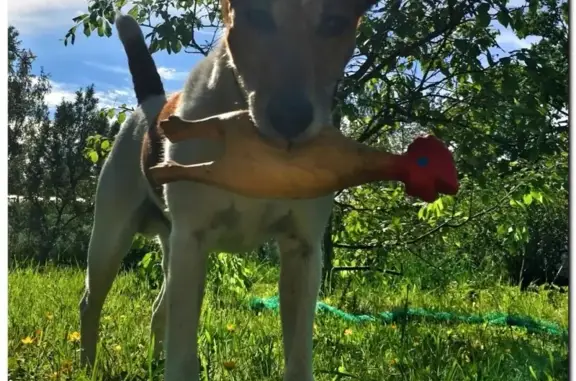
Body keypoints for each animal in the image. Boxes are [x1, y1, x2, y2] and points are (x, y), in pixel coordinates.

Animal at [80, 1, 378, 378]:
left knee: (160, 309)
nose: (290, 118)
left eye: (334, 23)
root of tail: (151, 104)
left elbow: (298, 356)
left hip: (170, 246)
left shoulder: (303, 249)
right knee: (92, 301)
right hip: (111, 238)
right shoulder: (192, 240)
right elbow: (183, 353)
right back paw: (87, 364)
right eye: (258, 15)